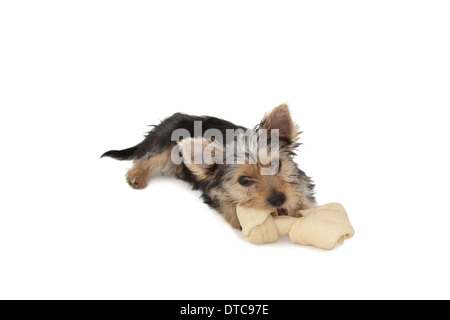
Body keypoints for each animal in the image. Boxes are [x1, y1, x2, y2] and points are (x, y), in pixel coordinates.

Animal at [103, 104, 316, 229]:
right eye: (244, 181)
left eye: (276, 164)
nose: (279, 198)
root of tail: (171, 118)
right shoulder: (214, 192)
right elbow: (228, 205)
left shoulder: (300, 184)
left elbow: (305, 199)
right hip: (166, 145)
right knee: (146, 158)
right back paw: (136, 176)